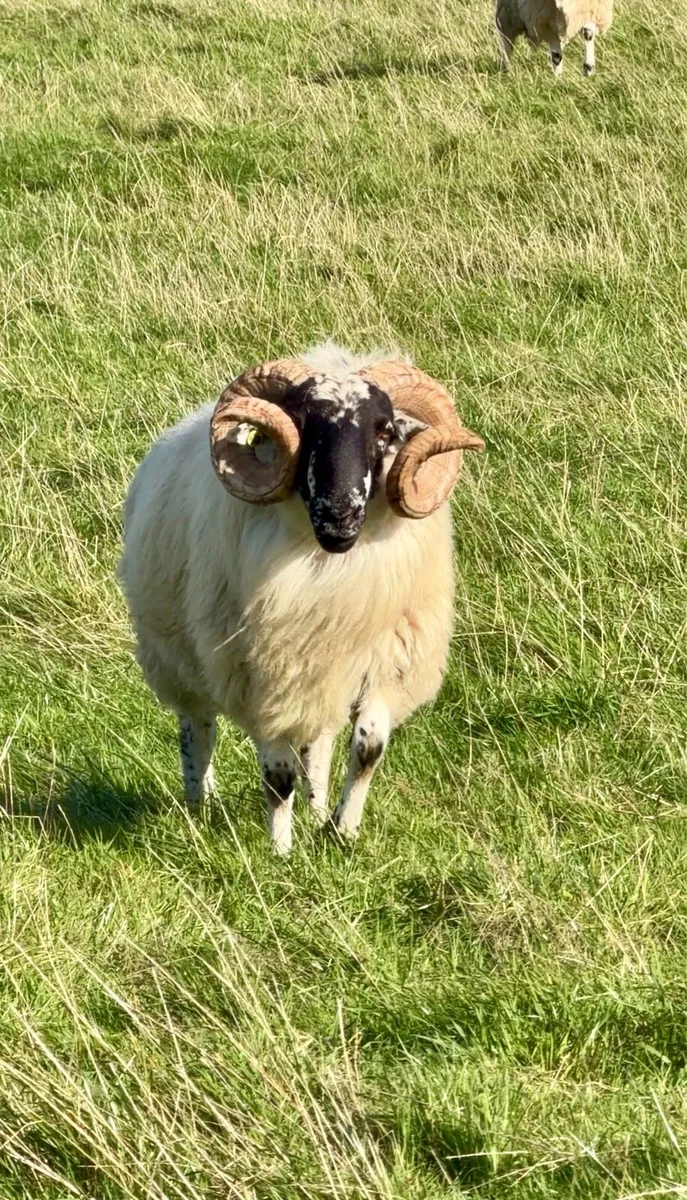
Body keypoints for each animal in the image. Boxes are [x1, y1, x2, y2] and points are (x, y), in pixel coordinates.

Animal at [118, 344, 484, 853]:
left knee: (318, 743)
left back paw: (315, 809)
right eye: (302, 425)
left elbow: (367, 747)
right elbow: (277, 775)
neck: (329, 568)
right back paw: (201, 805)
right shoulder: (264, 677)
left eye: (385, 431)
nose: (340, 513)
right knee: (198, 729)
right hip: (178, 656)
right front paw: (281, 851)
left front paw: (341, 830)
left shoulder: (382, 663)